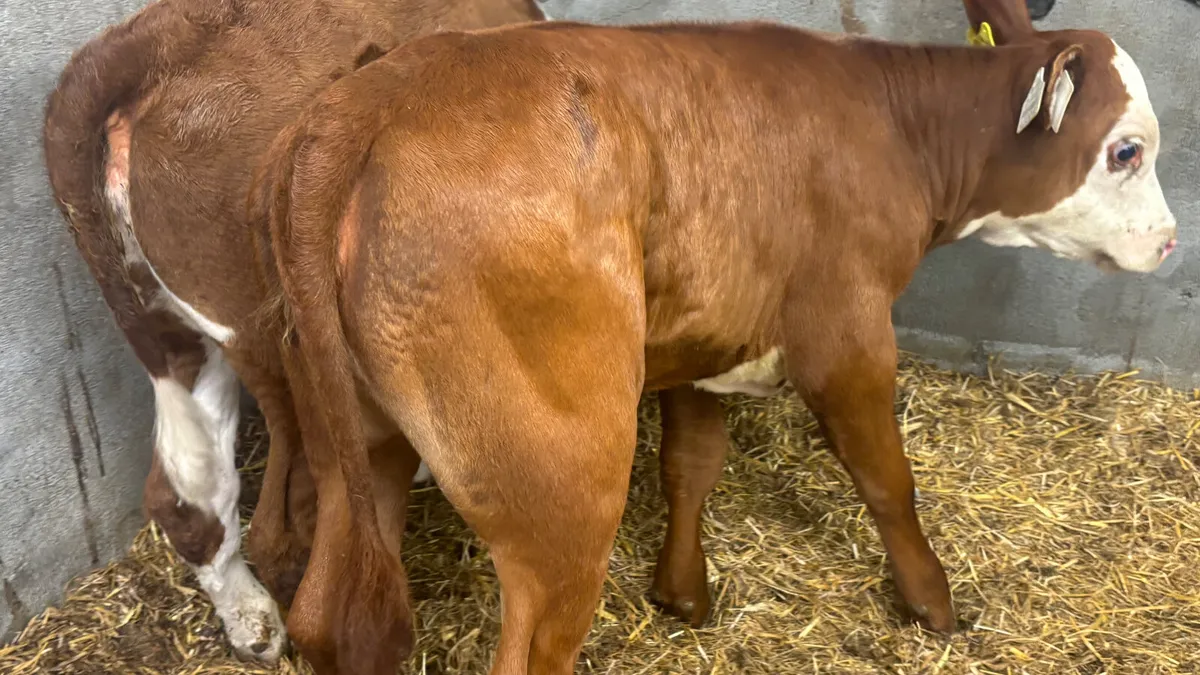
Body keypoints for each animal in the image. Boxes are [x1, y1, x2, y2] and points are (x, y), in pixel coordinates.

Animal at [41, 0, 547, 663]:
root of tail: (148, 43)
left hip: (162, 323)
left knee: (189, 492)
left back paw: (251, 621)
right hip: (274, 339)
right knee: (287, 520)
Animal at [253, 0, 1177, 672]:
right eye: (1126, 150)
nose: (1170, 243)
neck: (893, 129)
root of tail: (369, 102)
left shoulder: (713, 332)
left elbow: (692, 463)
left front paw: (682, 594)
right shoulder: (845, 333)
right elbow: (888, 479)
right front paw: (933, 603)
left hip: (354, 442)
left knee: (332, 614)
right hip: (562, 477)